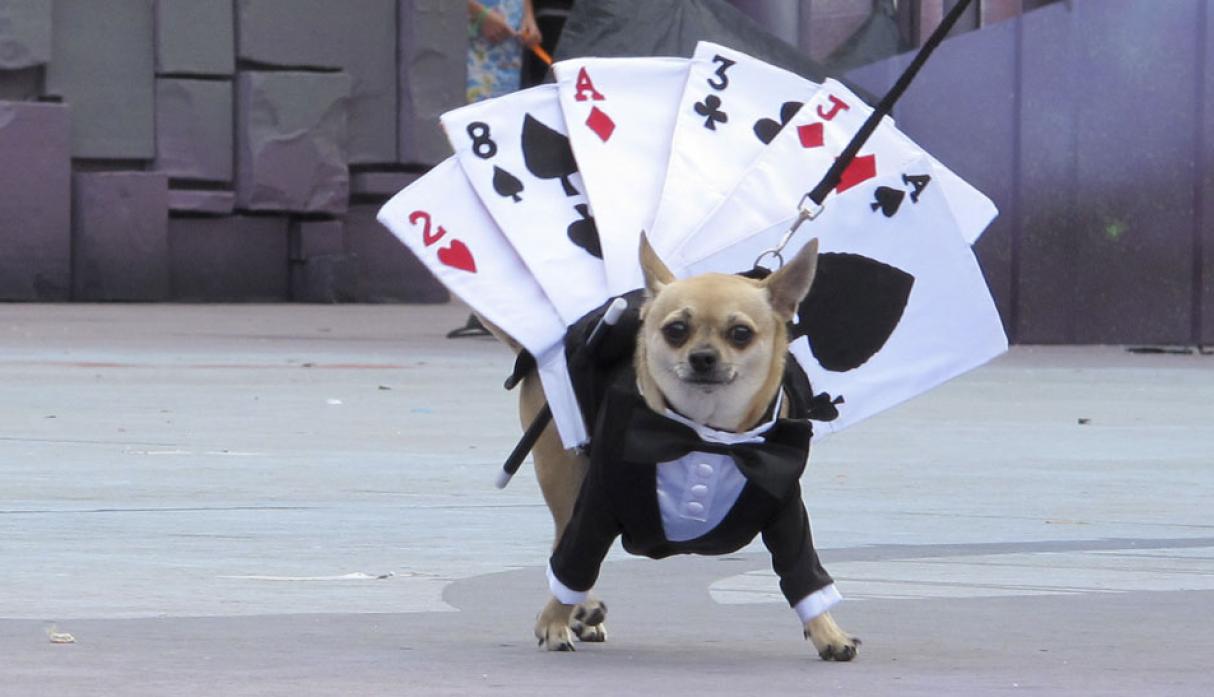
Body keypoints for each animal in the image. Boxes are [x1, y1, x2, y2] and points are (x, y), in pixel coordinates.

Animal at [507, 238, 859, 665]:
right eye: (676, 330)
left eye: (740, 333)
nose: (702, 356)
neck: (708, 435)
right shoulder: (597, 506)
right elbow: (576, 560)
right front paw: (553, 622)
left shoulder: (786, 512)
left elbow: (803, 572)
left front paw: (828, 633)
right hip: (564, 473)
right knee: (562, 543)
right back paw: (581, 610)